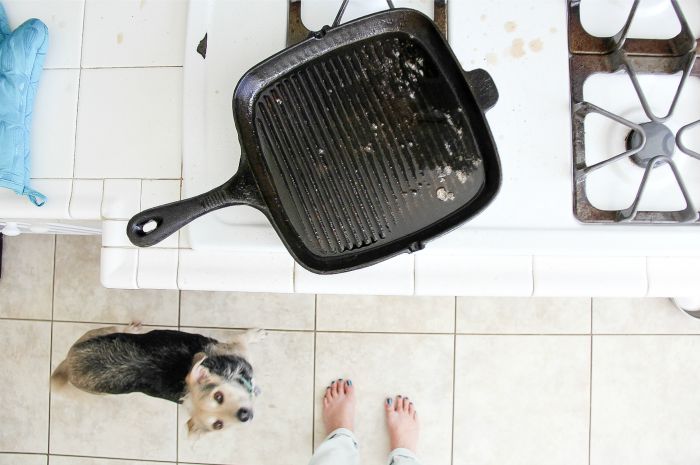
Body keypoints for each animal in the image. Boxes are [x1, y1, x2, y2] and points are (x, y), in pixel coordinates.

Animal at [51, 320, 266, 434]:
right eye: (218, 425)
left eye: (218, 396)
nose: (244, 415)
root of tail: (69, 365)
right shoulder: (236, 348)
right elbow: (243, 338)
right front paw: (254, 335)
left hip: (99, 333)